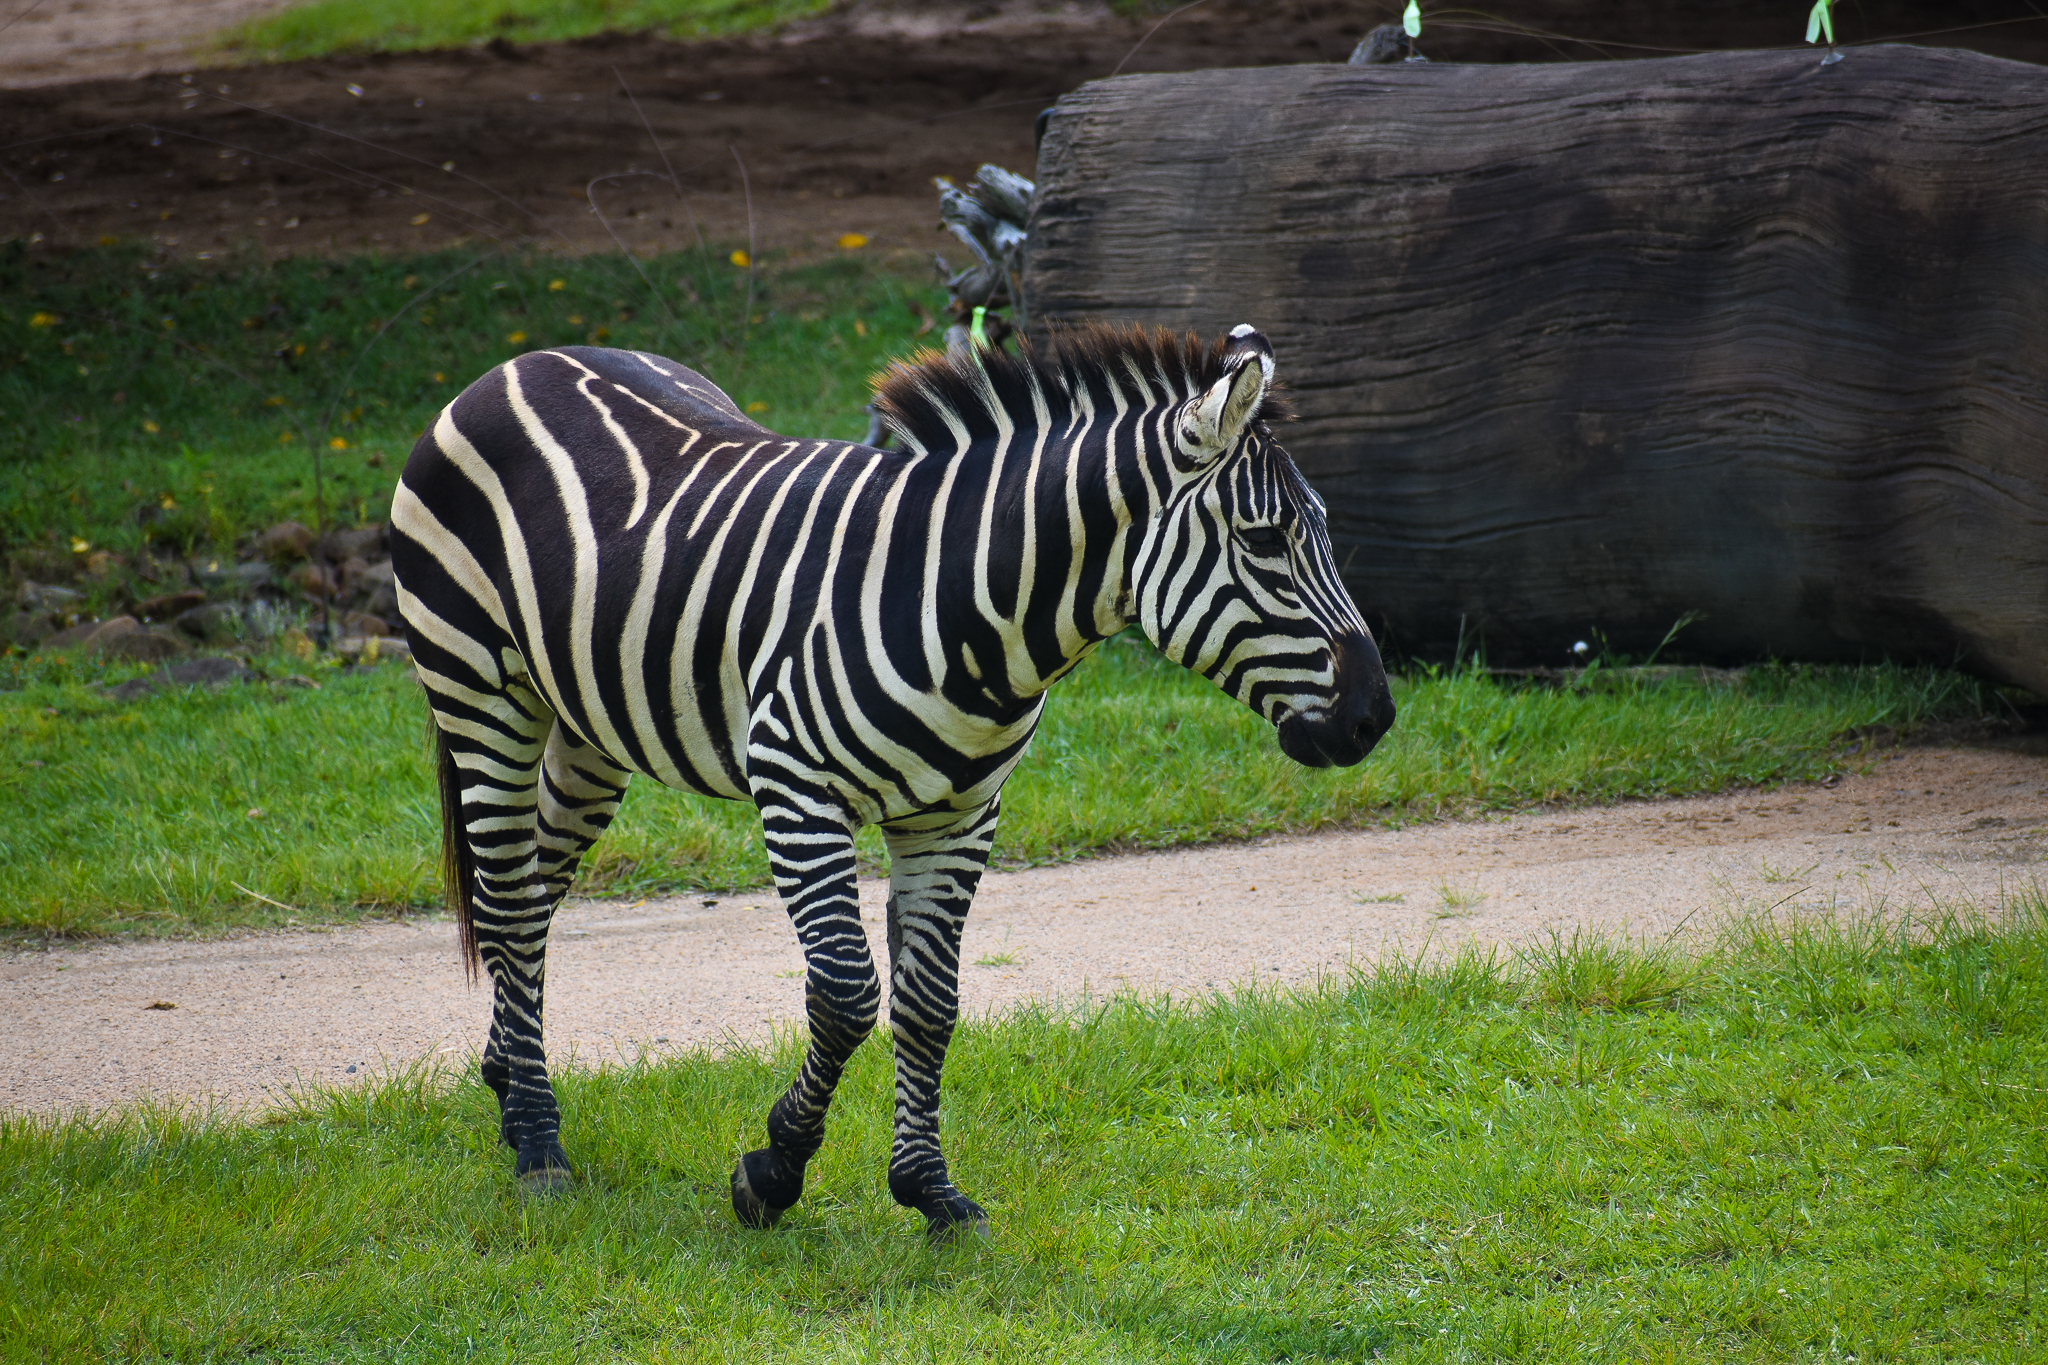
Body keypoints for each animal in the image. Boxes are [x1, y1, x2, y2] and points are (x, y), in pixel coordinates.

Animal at [390, 321, 1396, 1237]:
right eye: (1264, 541)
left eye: (1322, 531)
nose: (1374, 718)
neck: (966, 605)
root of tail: (520, 362)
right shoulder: (798, 792)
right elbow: (846, 994)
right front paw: (773, 1169)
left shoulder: (959, 815)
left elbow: (928, 1004)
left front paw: (929, 1189)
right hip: (481, 689)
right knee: (510, 901)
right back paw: (538, 1143)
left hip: (590, 727)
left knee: (535, 890)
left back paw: (508, 1079)